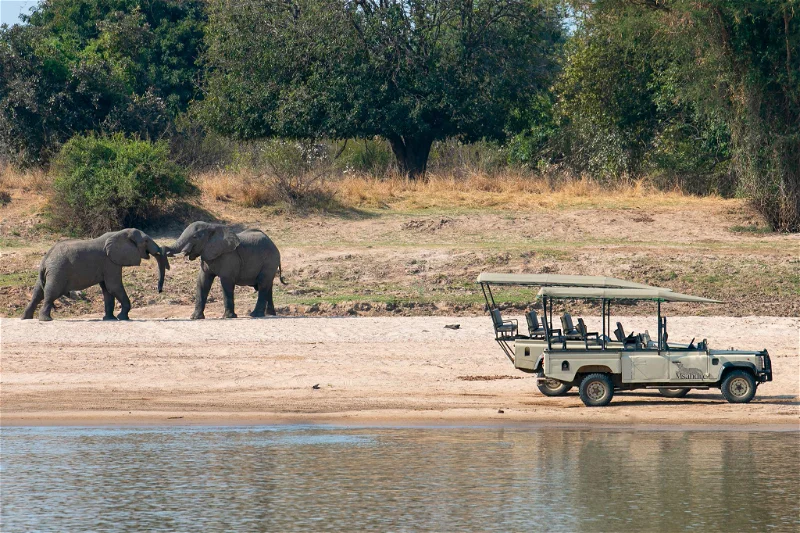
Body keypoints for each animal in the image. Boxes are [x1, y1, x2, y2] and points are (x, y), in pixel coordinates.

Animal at [22, 228, 170, 321]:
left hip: (51, 271)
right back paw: (46, 319)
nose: (159, 290)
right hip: (58, 271)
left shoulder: (107, 264)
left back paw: (26, 318)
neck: (120, 233)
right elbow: (113, 287)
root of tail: (46, 258)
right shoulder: (110, 262)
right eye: (146, 241)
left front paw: (110, 319)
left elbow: (107, 290)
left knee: (38, 293)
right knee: (51, 293)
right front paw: (123, 318)